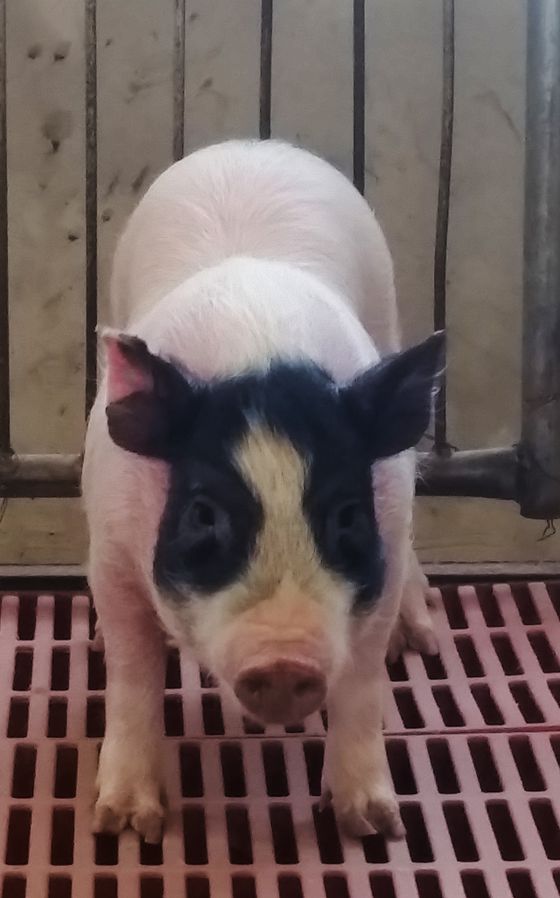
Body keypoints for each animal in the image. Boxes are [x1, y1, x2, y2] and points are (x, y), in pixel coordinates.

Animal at [82, 139, 442, 844]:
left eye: (348, 518)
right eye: (202, 515)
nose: (283, 664)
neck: (261, 352)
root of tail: (253, 146)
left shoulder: (386, 540)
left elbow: (363, 681)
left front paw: (374, 825)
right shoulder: (107, 547)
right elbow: (133, 672)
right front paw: (126, 825)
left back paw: (420, 640)